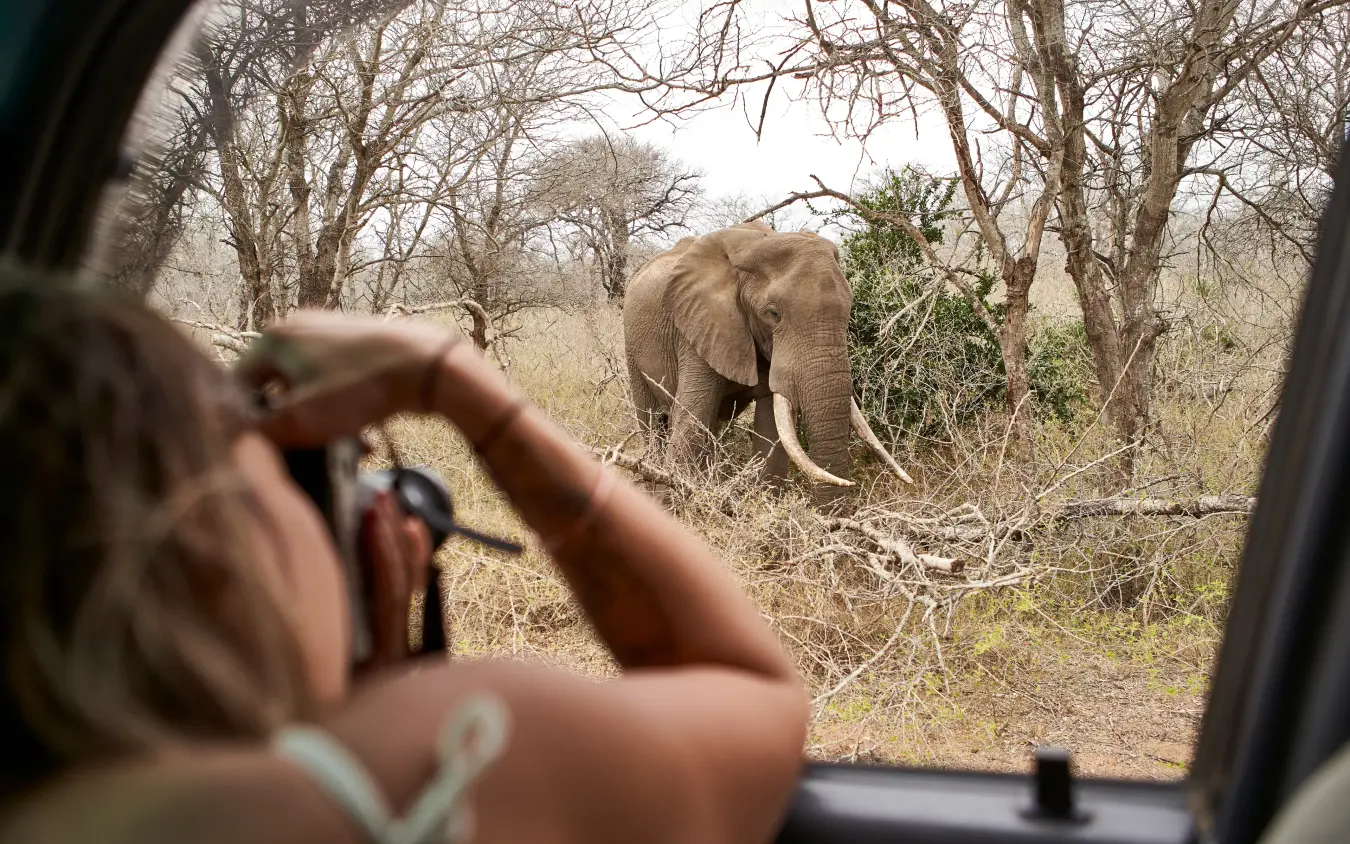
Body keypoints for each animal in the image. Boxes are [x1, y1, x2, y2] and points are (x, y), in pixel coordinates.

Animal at [622, 220, 912, 503]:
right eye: (773, 314)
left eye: (849, 309)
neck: (752, 245)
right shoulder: (699, 327)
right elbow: (692, 423)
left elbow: (771, 432)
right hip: (631, 346)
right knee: (652, 423)